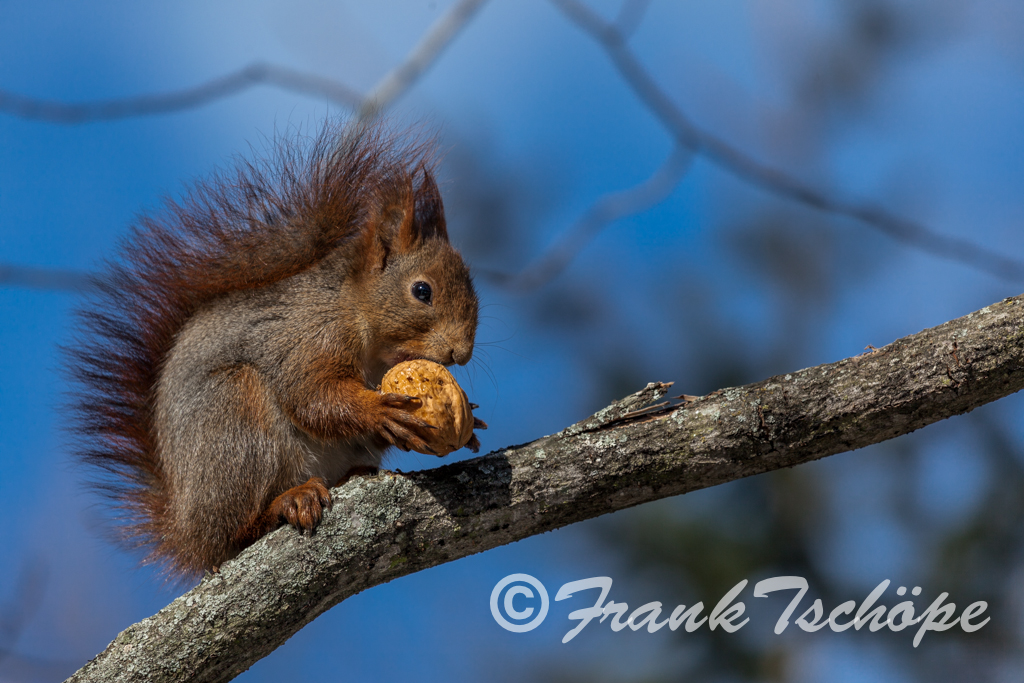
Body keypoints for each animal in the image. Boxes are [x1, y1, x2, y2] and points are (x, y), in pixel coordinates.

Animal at [70, 121, 481, 577]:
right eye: (422, 291)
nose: (461, 353)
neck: (354, 312)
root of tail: (187, 532)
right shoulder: (306, 338)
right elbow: (310, 395)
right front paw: (378, 410)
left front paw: (470, 421)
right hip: (234, 421)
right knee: (236, 534)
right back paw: (287, 502)